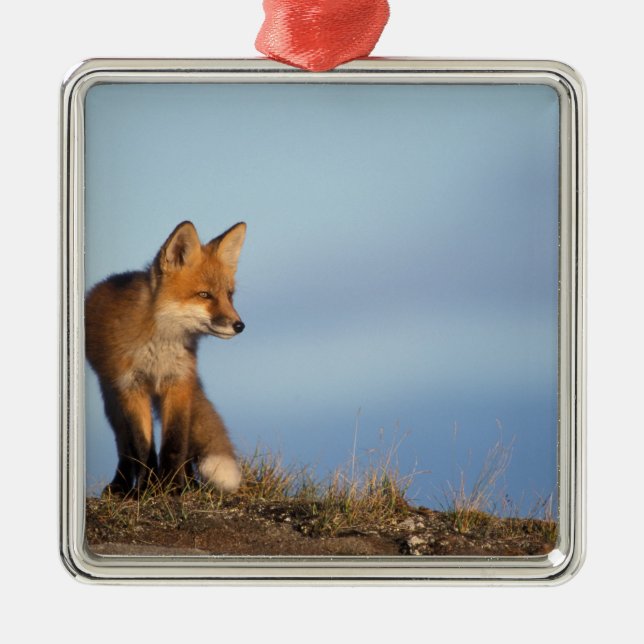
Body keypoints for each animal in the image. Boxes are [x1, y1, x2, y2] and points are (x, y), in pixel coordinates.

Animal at [85, 220, 247, 496]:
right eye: (204, 295)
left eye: (229, 295)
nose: (239, 326)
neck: (159, 349)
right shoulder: (131, 387)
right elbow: (142, 446)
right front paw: (148, 489)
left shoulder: (179, 382)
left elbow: (175, 442)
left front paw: (173, 487)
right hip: (111, 399)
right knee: (124, 445)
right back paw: (121, 485)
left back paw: (189, 482)